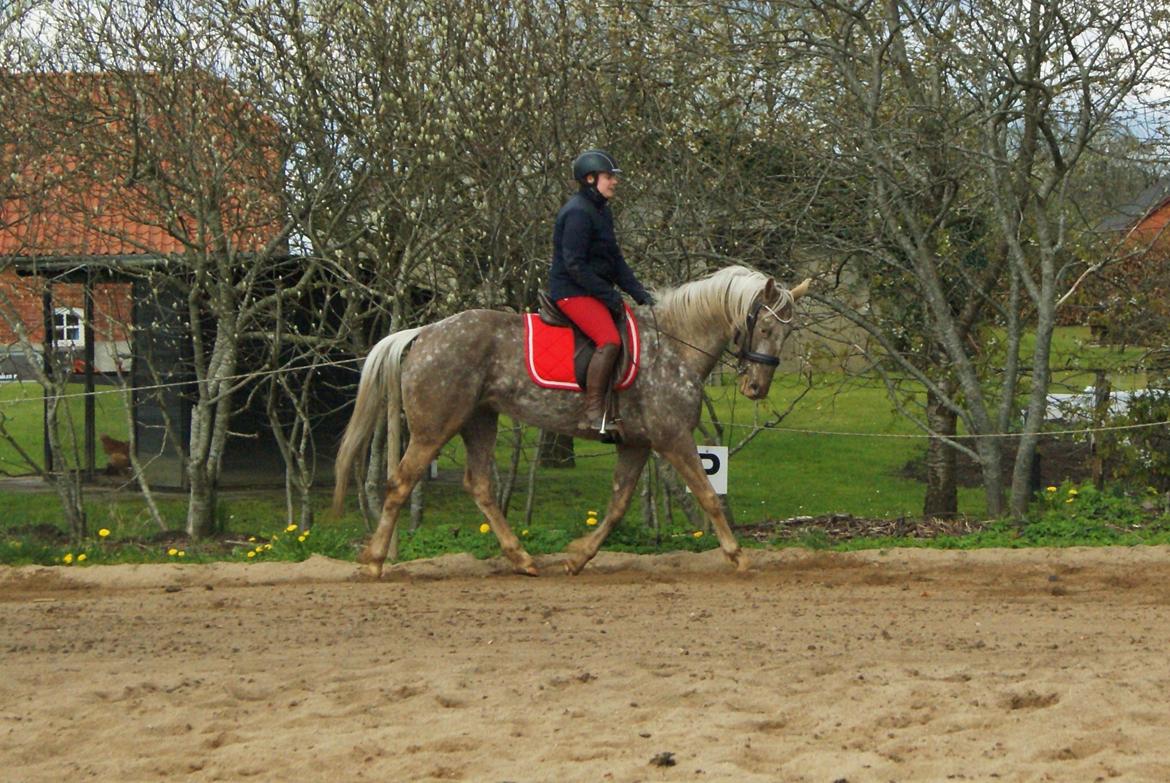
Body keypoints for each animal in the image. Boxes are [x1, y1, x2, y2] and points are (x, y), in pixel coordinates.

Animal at [329, 265, 804, 578]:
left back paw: (522, 559)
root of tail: (422, 333)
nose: (756, 388)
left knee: (479, 486)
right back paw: (375, 561)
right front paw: (737, 555)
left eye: (787, 333)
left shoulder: (636, 443)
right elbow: (707, 495)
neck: (673, 345)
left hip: (479, 420)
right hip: (434, 428)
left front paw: (578, 557)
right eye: (764, 328)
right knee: (400, 482)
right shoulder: (672, 439)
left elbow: (617, 505)